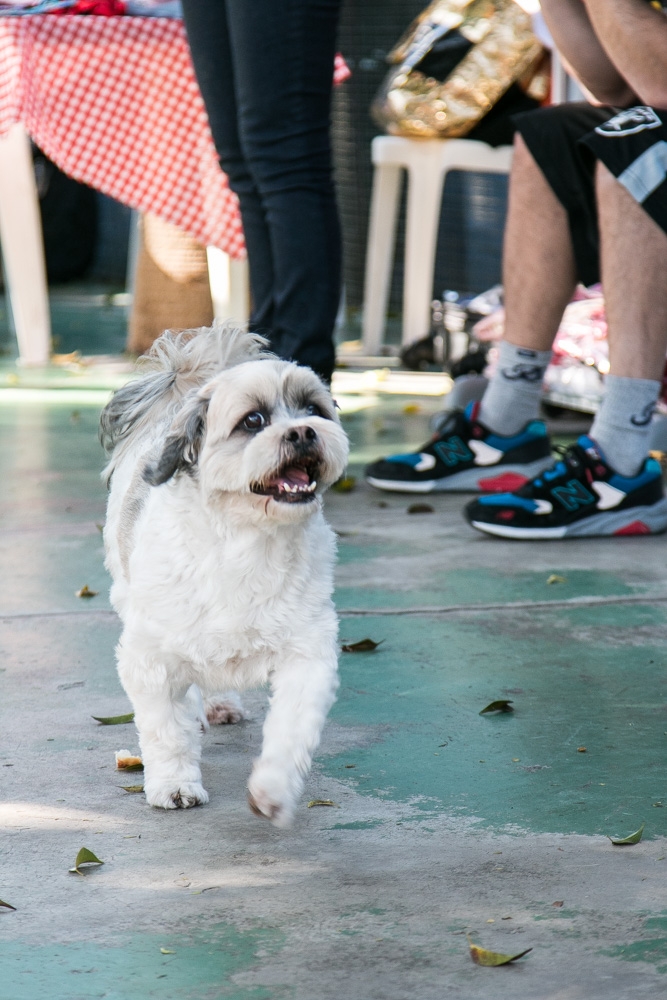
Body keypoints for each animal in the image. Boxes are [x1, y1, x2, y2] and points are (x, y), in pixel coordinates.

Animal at [100, 324, 350, 824]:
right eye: (253, 421)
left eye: (314, 410)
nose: (304, 431)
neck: (247, 541)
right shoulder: (149, 659)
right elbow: (166, 729)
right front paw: (174, 784)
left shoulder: (308, 653)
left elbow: (292, 727)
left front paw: (273, 789)